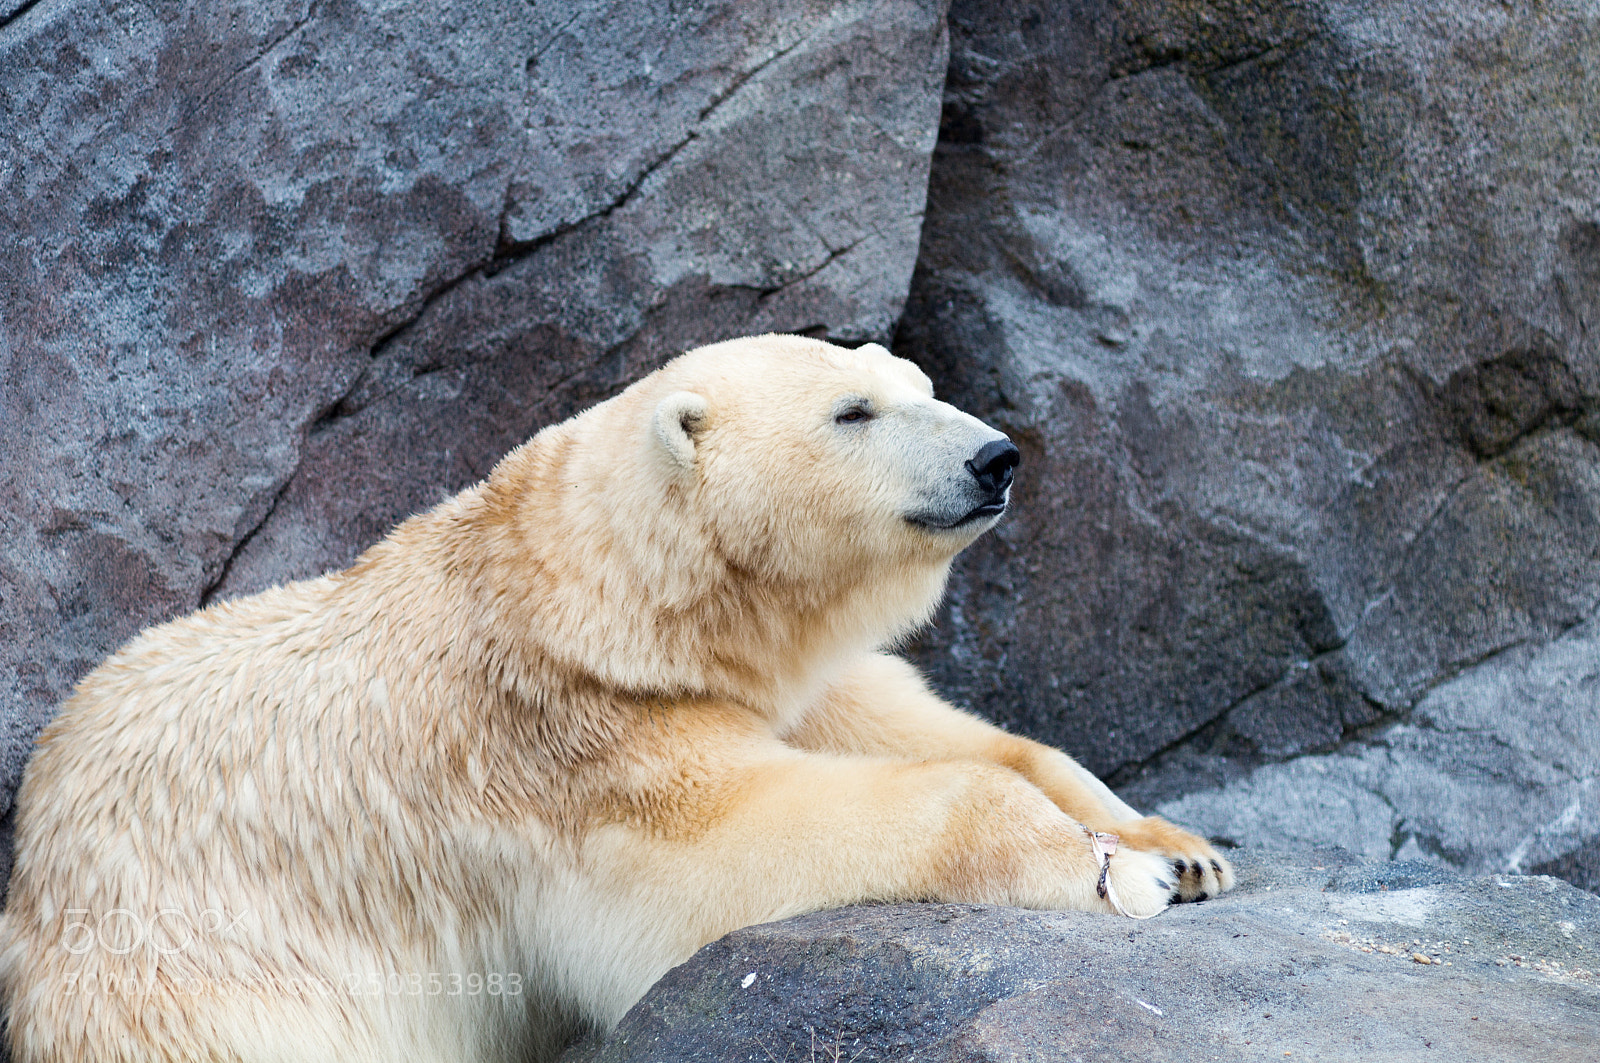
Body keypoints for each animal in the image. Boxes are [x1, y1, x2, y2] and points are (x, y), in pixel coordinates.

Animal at [0, 334, 1233, 1062]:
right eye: (854, 410)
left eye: (926, 389)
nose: (996, 457)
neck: (593, 596)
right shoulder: (568, 749)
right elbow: (721, 862)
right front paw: (1112, 872)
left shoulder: (774, 675)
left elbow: (926, 725)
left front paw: (1178, 843)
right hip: (184, 980)